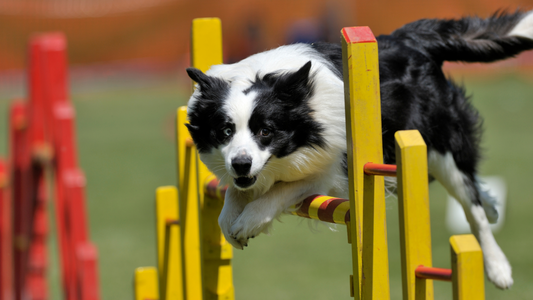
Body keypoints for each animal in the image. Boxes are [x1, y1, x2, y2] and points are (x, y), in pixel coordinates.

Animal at [184, 11, 532, 288]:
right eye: (225, 131)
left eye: (265, 131)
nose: (241, 164)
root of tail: (407, 39)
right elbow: (233, 195)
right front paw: (231, 221)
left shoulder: (329, 169)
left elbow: (279, 192)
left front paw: (248, 221)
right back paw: (493, 205)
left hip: (437, 144)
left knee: (472, 206)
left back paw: (498, 267)